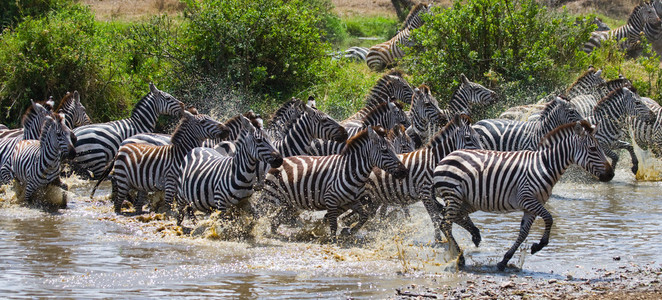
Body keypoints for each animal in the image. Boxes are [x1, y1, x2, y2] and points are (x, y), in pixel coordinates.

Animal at [97, 109, 230, 213]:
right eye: (202, 122)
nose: (226, 129)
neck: (180, 154)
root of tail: (121, 147)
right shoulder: (170, 181)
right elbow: (169, 204)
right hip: (123, 179)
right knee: (118, 202)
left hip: (140, 184)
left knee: (137, 204)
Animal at [260, 126, 408, 239]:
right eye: (385, 150)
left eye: (393, 149)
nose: (404, 171)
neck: (350, 170)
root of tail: (279, 160)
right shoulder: (330, 200)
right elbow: (333, 224)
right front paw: (332, 239)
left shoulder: (351, 200)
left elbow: (364, 216)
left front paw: (349, 231)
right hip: (272, 198)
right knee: (261, 214)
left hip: (289, 203)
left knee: (276, 220)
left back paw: (276, 234)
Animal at [434, 120, 616, 270]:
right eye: (593, 148)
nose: (610, 174)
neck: (544, 165)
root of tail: (447, 156)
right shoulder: (528, 199)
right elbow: (549, 218)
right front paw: (539, 245)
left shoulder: (531, 207)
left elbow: (523, 233)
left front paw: (504, 261)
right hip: (454, 195)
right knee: (446, 223)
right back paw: (460, 258)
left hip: (468, 201)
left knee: (451, 218)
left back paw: (470, 239)